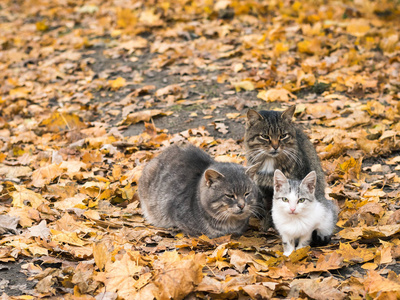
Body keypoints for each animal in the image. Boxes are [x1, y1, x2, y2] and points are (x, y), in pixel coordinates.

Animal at [244, 106, 338, 243]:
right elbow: (269, 209)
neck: (269, 162)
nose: (275, 146)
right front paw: (267, 226)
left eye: (283, 135)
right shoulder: (264, 190)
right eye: (265, 136)